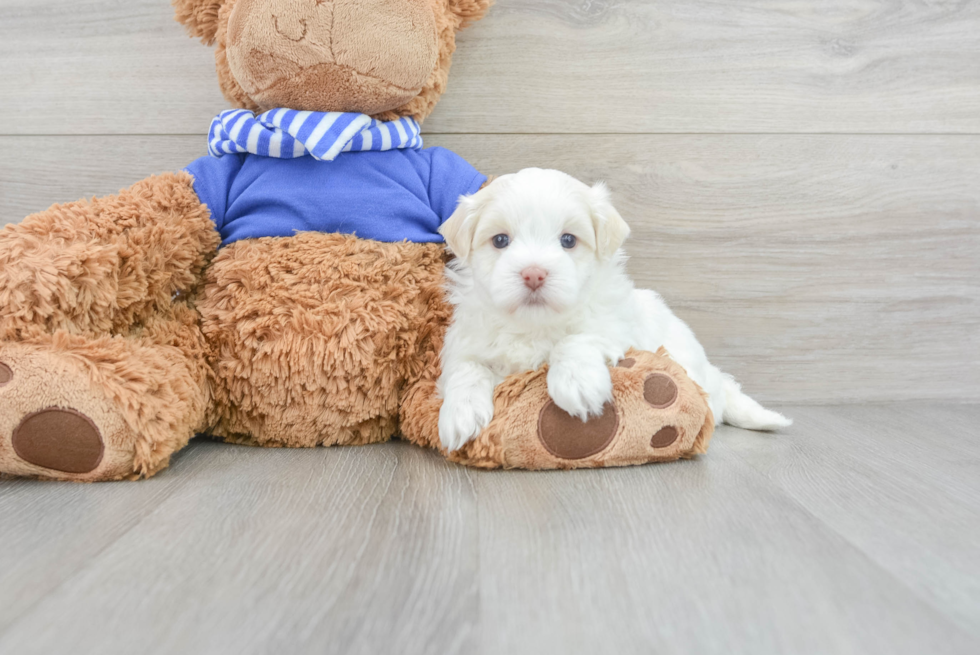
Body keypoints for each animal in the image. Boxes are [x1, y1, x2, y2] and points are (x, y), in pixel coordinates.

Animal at [436, 169, 788, 452]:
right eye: (500, 240)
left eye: (568, 240)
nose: (533, 274)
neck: (534, 325)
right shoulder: (466, 342)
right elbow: (467, 369)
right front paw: (459, 415)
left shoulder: (613, 325)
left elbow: (575, 339)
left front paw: (577, 384)